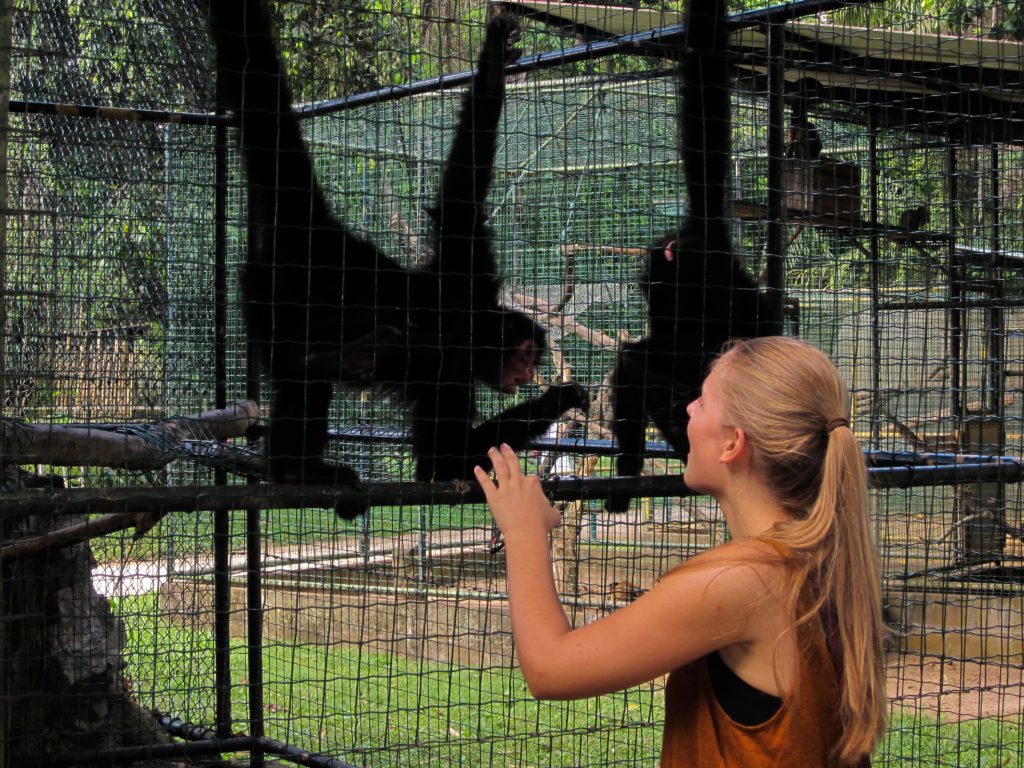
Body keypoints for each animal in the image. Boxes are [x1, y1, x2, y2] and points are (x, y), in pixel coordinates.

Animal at [203, 1, 589, 518]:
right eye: (526, 354)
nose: (528, 373)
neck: (466, 321)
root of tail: (322, 232)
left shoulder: (466, 266)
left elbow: (461, 195)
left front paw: (493, 60)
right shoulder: (448, 370)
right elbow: (441, 463)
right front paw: (559, 398)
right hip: (281, 302)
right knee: (308, 373)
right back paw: (294, 469)